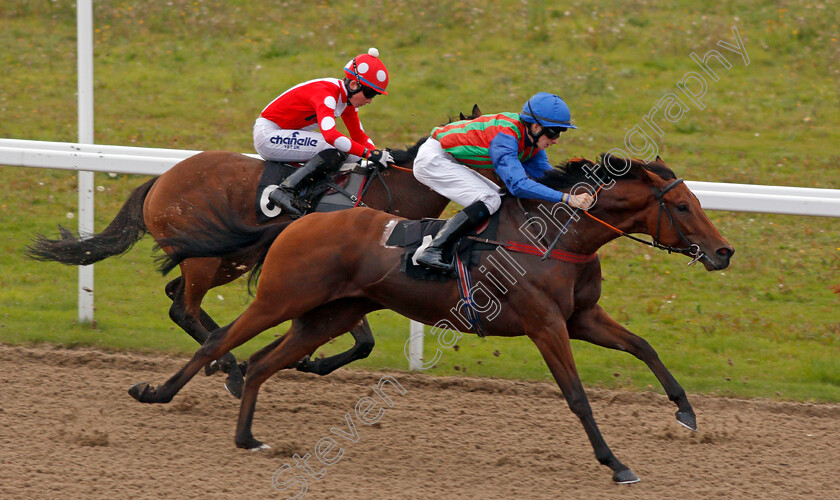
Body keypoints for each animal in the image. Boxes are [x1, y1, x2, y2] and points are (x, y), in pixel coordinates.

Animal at [128, 155, 732, 484]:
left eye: (697, 201)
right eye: (682, 207)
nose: (723, 253)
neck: (555, 239)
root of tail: (297, 220)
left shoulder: (582, 317)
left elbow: (644, 346)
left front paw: (685, 412)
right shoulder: (546, 326)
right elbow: (578, 397)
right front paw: (615, 463)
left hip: (325, 317)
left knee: (259, 362)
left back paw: (248, 436)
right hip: (281, 299)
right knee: (218, 341)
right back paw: (157, 393)